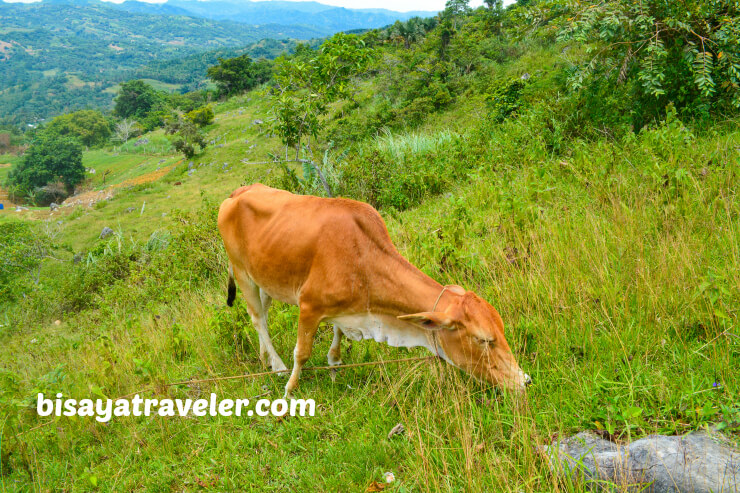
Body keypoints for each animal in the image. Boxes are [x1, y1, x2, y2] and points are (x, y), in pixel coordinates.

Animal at [217, 184, 528, 396]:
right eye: (483, 340)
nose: (523, 381)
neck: (363, 256)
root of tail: (237, 193)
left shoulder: (345, 310)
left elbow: (338, 334)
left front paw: (334, 363)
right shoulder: (309, 306)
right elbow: (301, 353)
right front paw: (290, 389)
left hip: (265, 279)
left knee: (264, 315)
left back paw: (265, 358)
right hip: (242, 273)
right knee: (258, 318)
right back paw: (279, 366)